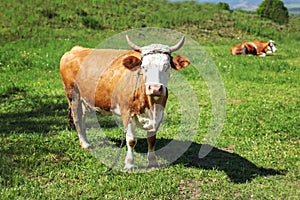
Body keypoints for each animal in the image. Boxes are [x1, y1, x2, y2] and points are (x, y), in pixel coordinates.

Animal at [59, 35, 190, 170]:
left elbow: (152, 139)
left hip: (84, 99)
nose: (155, 88)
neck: (149, 104)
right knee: (77, 118)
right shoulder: (127, 112)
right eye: (144, 67)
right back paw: (85, 144)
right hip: (73, 94)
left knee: (83, 117)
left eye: (166, 66)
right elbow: (131, 140)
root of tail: (76, 49)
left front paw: (153, 162)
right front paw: (129, 164)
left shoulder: (159, 113)